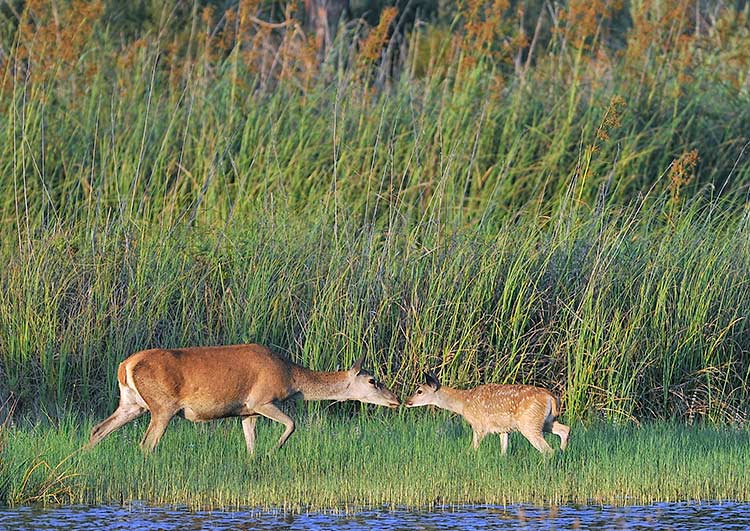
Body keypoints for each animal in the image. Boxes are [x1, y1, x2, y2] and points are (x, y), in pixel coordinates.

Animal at [87, 344, 400, 454]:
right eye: (373, 380)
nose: (396, 399)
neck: (291, 376)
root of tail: (125, 365)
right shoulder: (262, 400)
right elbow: (292, 424)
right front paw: (275, 449)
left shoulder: (247, 412)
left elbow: (250, 443)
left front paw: (255, 460)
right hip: (162, 406)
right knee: (147, 443)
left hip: (132, 404)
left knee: (98, 429)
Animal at [406, 374, 568, 454]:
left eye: (419, 391)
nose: (407, 401)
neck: (464, 403)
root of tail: (551, 397)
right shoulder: (503, 430)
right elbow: (504, 451)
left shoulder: (479, 426)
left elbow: (472, 449)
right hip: (545, 421)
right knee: (565, 429)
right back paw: (562, 453)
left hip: (529, 423)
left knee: (548, 450)